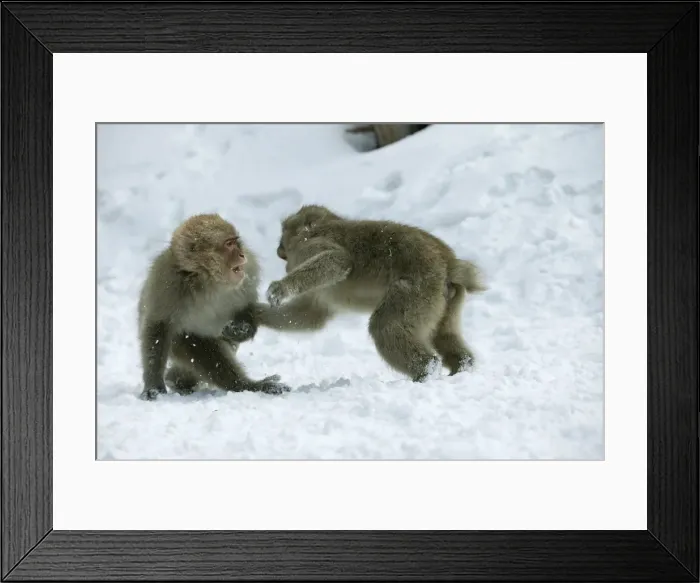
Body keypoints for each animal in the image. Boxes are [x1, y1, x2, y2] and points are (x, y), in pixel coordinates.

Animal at [137, 213, 290, 401]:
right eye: (228, 244)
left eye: (236, 242)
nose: (242, 255)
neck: (208, 280)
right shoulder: (167, 282)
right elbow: (159, 327)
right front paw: (153, 386)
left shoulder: (249, 272)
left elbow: (246, 310)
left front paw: (241, 329)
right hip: (178, 343)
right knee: (200, 349)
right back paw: (245, 385)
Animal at [252, 205, 485, 383]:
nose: (278, 251)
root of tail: (449, 262)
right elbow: (310, 316)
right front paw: (254, 313)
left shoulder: (309, 248)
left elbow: (338, 261)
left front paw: (280, 289)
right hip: (446, 298)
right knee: (445, 334)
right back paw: (462, 366)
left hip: (418, 290)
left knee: (384, 326)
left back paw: (427, 370)